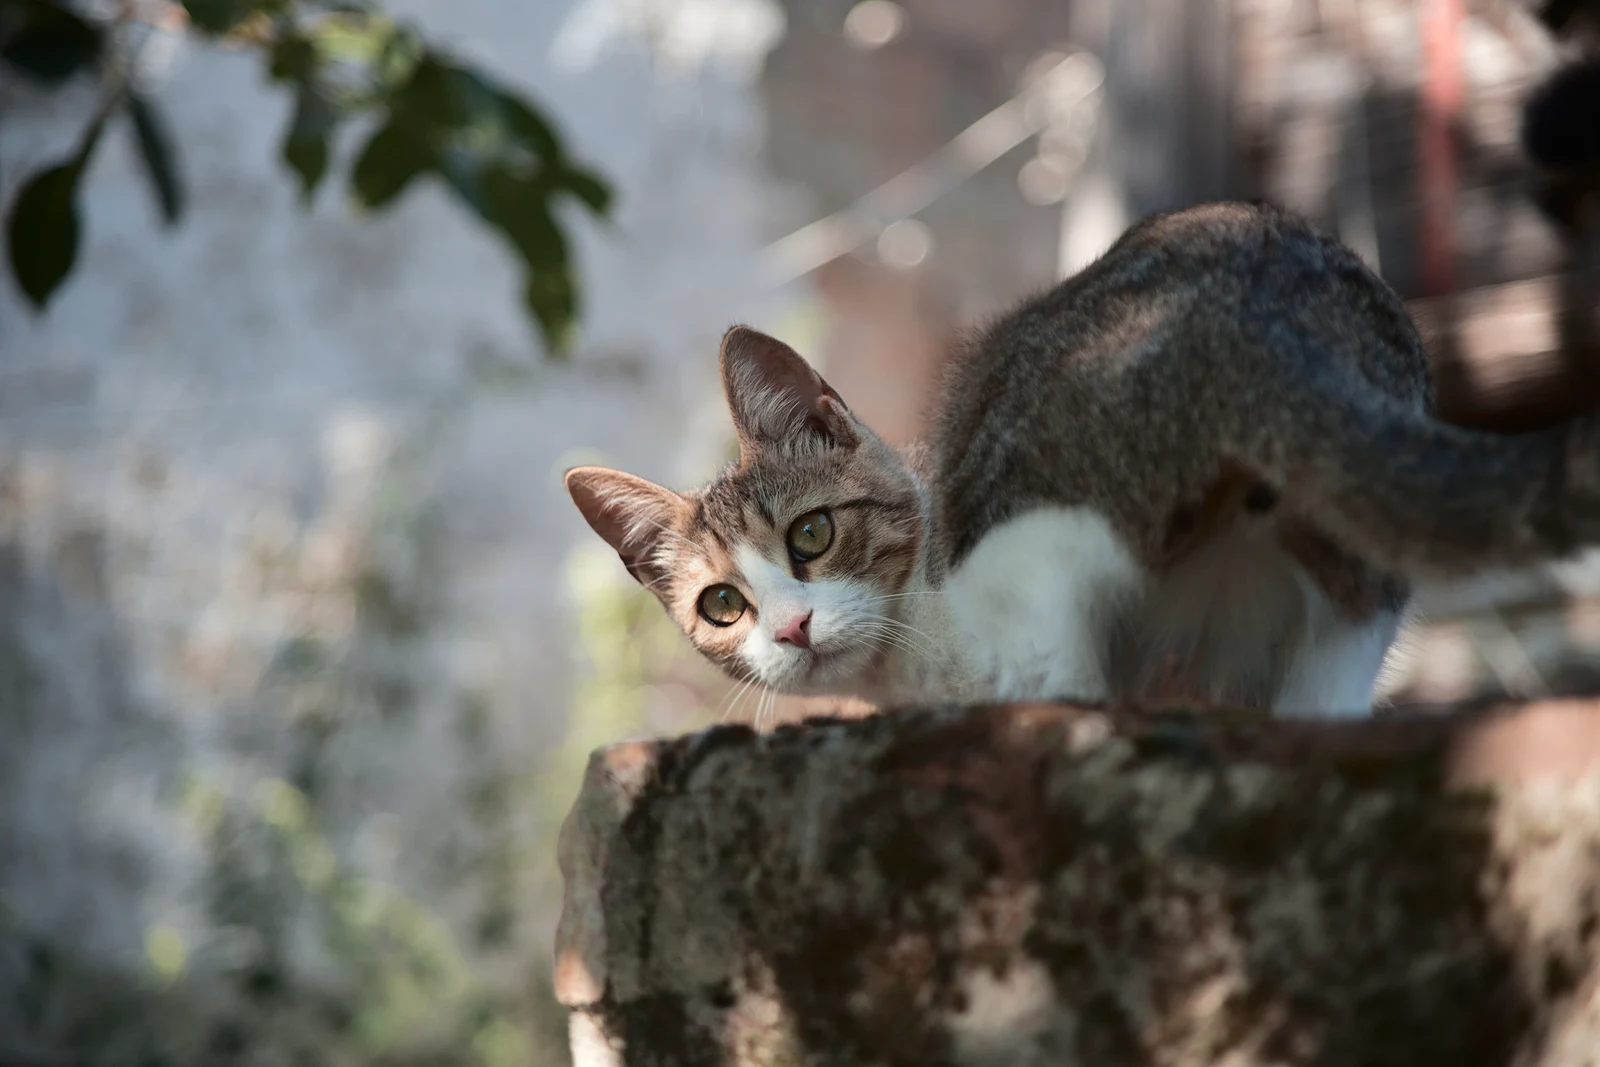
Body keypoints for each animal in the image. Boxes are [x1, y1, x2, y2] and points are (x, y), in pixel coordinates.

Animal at [566, 202, 1600, 717]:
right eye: (722, 606)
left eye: (812, 534)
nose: (789, 629)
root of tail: (1241, 292)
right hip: (1354, 581)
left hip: (1044, 547)